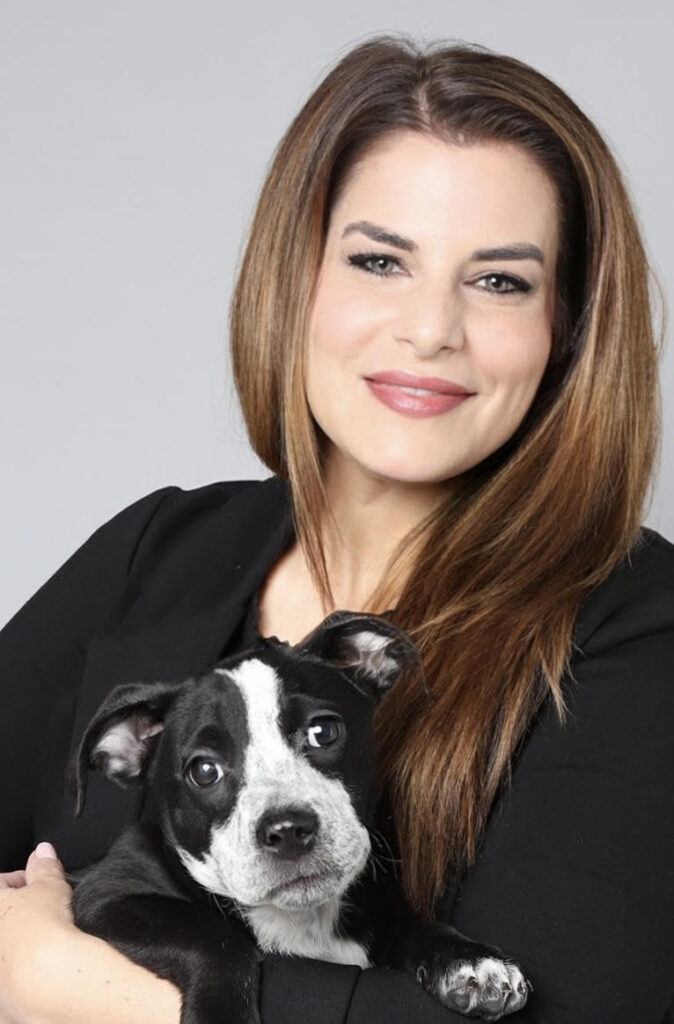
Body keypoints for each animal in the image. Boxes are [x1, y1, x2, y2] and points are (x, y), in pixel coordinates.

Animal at [69, 610, 528, 1019]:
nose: (288, 829)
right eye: (204, 771)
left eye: (323, 732)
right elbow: (211, 934)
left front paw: (470, 960)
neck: (301, 919)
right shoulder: (104, 895)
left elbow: (410, 924)